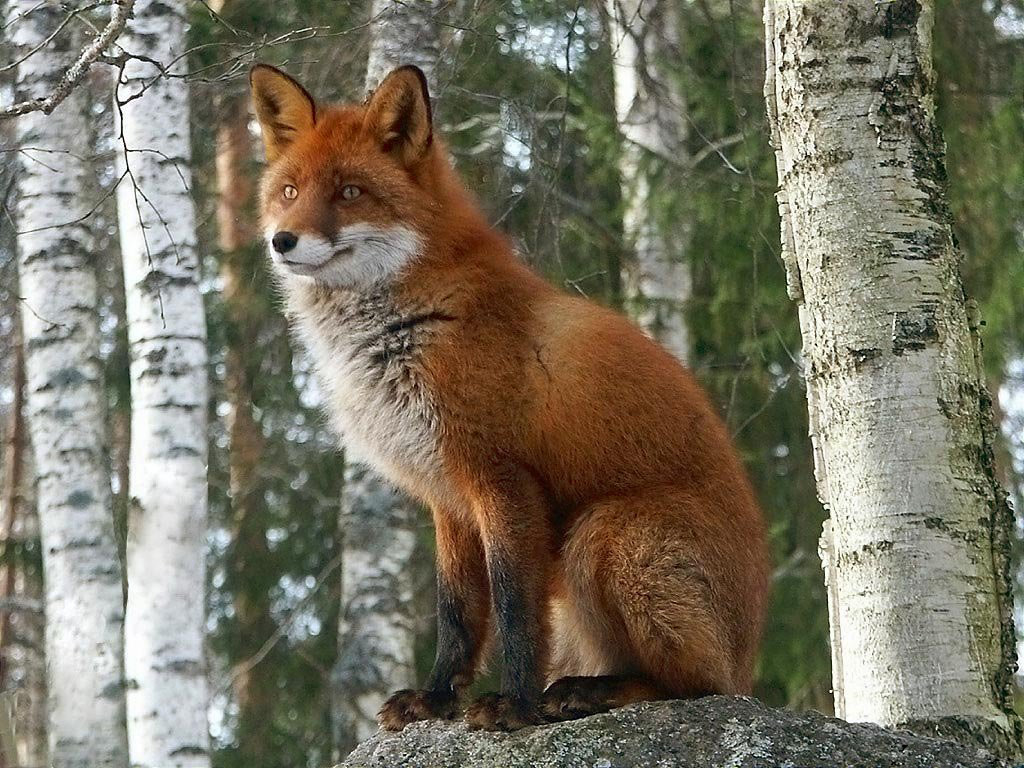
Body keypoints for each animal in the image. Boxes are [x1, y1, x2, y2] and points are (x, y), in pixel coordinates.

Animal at [251, 63, 770, 729]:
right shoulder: (446, 496)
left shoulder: (501, 478)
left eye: (348, 193)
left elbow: (515, 608)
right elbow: (457, 613)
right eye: (290, 191)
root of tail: (749, 663)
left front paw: (516, 704)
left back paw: (590, 692)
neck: (406, 329)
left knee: (699, 686)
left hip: (606, 534)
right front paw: (437, 698)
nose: (283, 241)